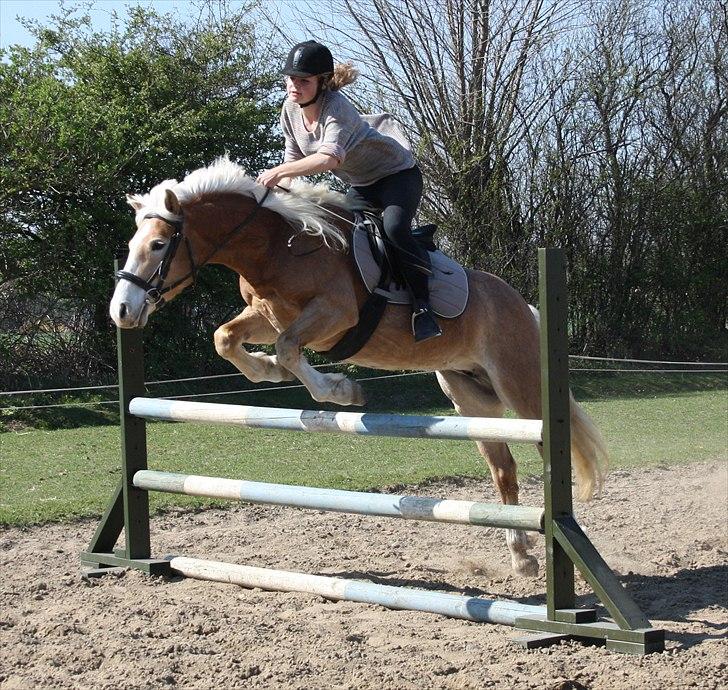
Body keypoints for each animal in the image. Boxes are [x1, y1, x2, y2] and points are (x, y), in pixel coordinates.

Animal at [109, 156, 608, 576]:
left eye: (158, 245)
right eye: (131, 245)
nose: (122, 312)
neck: (275, 247)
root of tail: (525, 307)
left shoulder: (333, 315)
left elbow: (290, 348)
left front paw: (340, 390)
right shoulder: (266, 315)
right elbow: (227, 338)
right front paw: (268, 371)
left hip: (521, 388)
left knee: (546, 448)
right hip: (470, 398)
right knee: (503, 467)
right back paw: (522, 557)